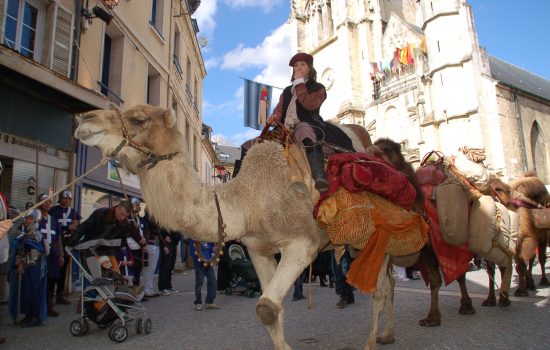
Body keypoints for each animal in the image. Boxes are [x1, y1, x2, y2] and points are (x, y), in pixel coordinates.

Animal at [76, 105, 418, 348]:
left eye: (138, 119)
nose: (85, 118)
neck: (248, 199)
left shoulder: (301, 244)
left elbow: (266, 307)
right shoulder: (259, 250)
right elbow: (269, 310)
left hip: (373, 233)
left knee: (379, 289)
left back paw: (374, 341)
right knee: (387, 284)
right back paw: (387, 335)